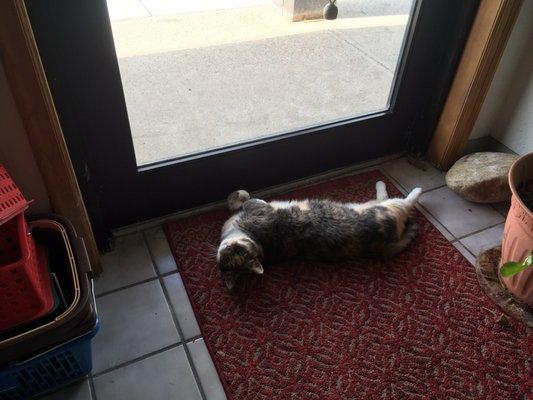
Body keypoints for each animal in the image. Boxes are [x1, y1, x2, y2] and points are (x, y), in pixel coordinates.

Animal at [216, 182, 420, 290]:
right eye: (229, 258)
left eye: (239, 250)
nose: (227, 247)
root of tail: (382, 246)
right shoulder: (259, 208)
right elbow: (244, 200)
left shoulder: (256, 208)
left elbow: (239, 199)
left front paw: (237, 196)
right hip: (385, 208)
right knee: (403, 201)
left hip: (381, 206)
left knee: (399, 200)